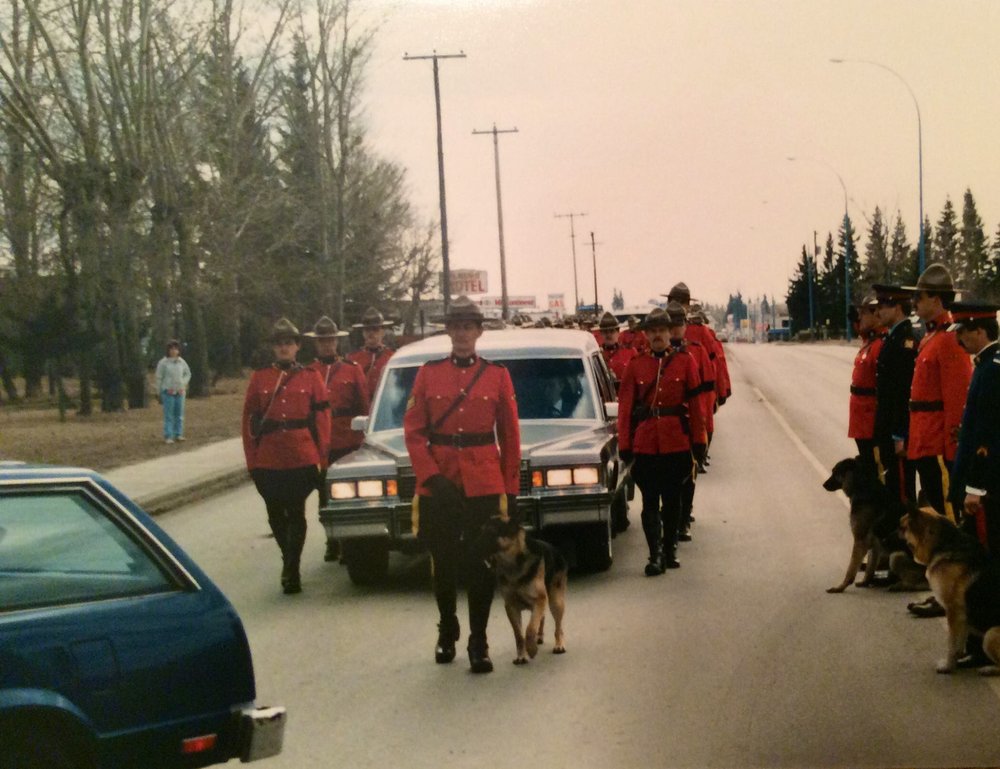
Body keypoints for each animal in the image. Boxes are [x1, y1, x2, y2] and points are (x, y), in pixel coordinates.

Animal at [478, 520, 568, 664]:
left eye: (490, 532)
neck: (513, 563)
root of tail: (556, 551)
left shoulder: (539, 601)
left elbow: (530, 629)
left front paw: (531, 649)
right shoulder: (511, 606)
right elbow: (519, 634)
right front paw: (522, 655)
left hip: (556, 602)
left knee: (558, 627)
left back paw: (559, 644)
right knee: (542, 617)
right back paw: (540, 636)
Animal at [820, 456, 908, 592]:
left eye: (835, 473)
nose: (824, 485)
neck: (862, 486)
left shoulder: (860, 540)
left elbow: (851, 567)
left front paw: (841, 587)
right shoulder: (873, 544)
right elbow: (870, 567)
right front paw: (866, 582)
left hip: (897, 554)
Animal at [900, 508, 1000, 676]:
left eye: (901, 528)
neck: (944, 544)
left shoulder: (953, 611)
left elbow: (951, 643)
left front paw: (947, 666)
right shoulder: (962, 617)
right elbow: (958, 644)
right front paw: (957, 660)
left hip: (989, 635)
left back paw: (988, 668)